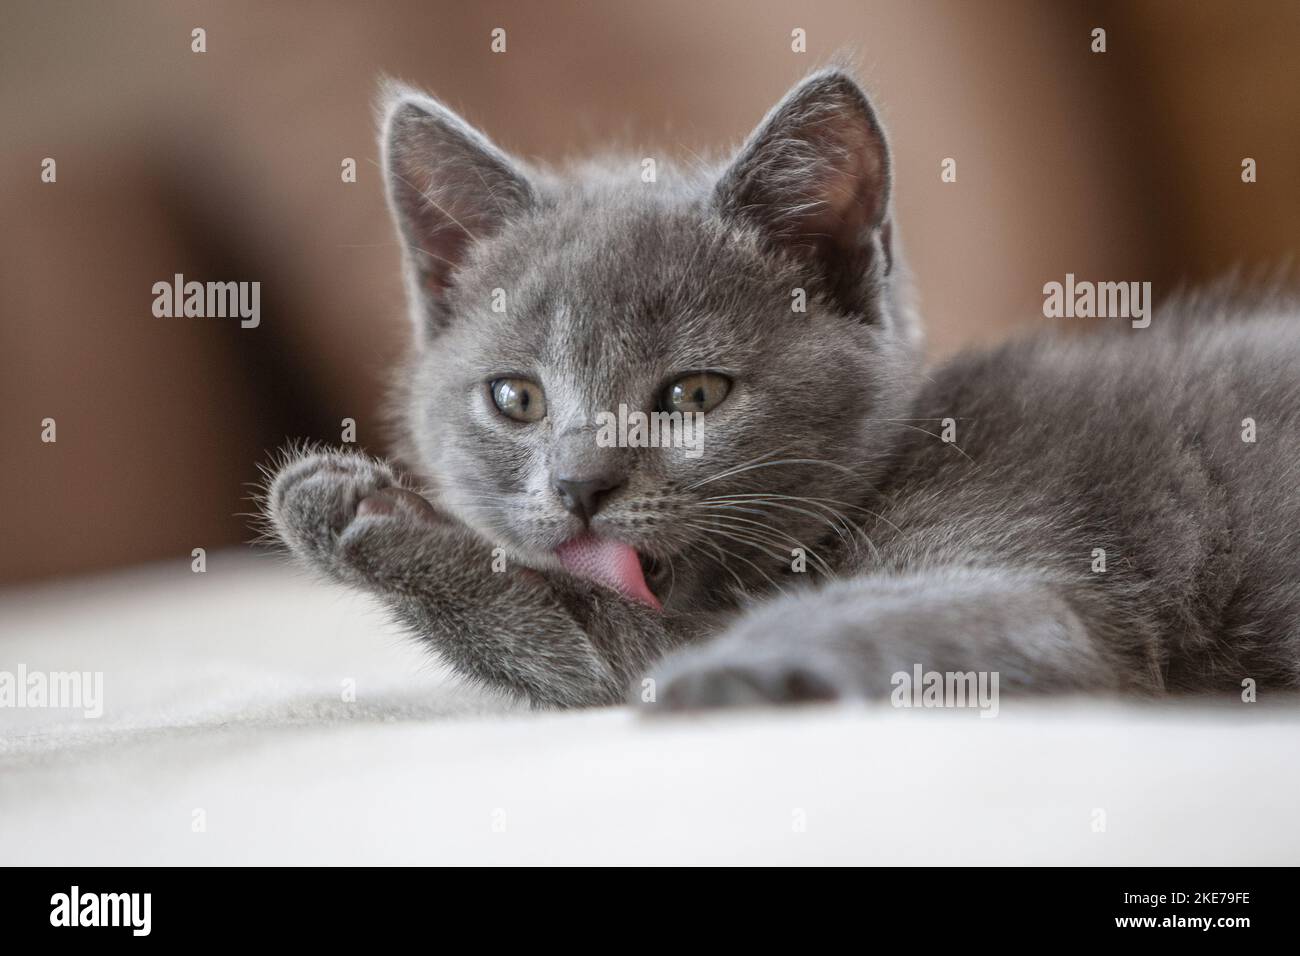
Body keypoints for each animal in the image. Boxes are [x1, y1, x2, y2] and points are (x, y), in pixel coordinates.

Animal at [258, 69, 1294, 712]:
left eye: (694, 395)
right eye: (516, 400)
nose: (580, 486)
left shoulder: (1044, 580)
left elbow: (652, 656)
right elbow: (591, 646)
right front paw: (341, 505)